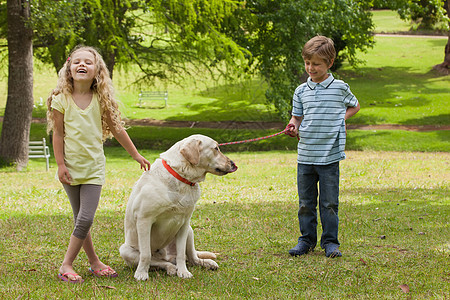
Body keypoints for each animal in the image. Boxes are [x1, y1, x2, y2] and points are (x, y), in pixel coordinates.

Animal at [119, 135, 239, 280]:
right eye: (216, 148)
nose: (233, 164)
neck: (181, 177)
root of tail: (168, 256)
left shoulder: (184, 223)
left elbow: (182, 254)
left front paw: (183, 272)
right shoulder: (144, 220)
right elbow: (146, 254)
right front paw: (141, 273)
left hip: (190, 231)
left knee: (192, 258)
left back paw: (206, 263)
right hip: (125, 250)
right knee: (159, 262)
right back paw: (170, 268)